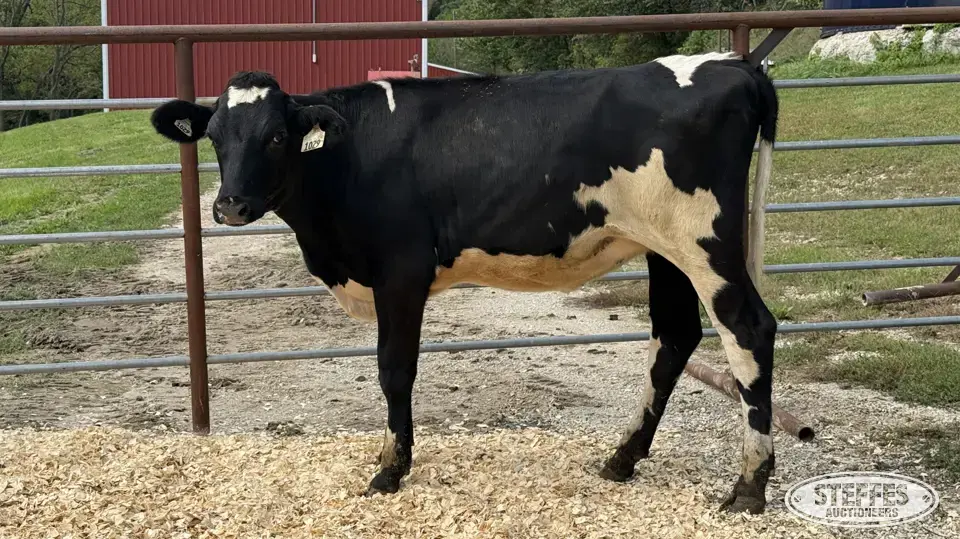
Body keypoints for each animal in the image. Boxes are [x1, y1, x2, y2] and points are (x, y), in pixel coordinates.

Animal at [150, 50, 779, 514]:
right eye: (215, 137)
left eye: (278, 136)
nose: (230, 206)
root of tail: (733, 64)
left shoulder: (401, 272)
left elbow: (395, 370)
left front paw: (390, 470)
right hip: (663, 248)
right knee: (673, 337)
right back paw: (622, 458)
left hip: (704, 242)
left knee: (749, 330)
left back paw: (749, 485)